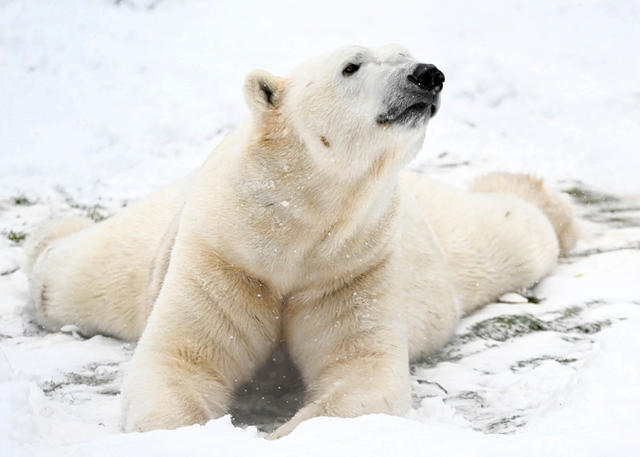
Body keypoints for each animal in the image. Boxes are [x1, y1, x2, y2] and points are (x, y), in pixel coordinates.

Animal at [23, 44, 576, 436]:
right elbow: (178, 361)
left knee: (516, 234)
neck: (296, 226)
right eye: (351, 66)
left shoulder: (354, 264)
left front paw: (284, 434)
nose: (427, 74)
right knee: (74, 276)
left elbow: (362, 373)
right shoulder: (223, 254)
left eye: (406, 51)